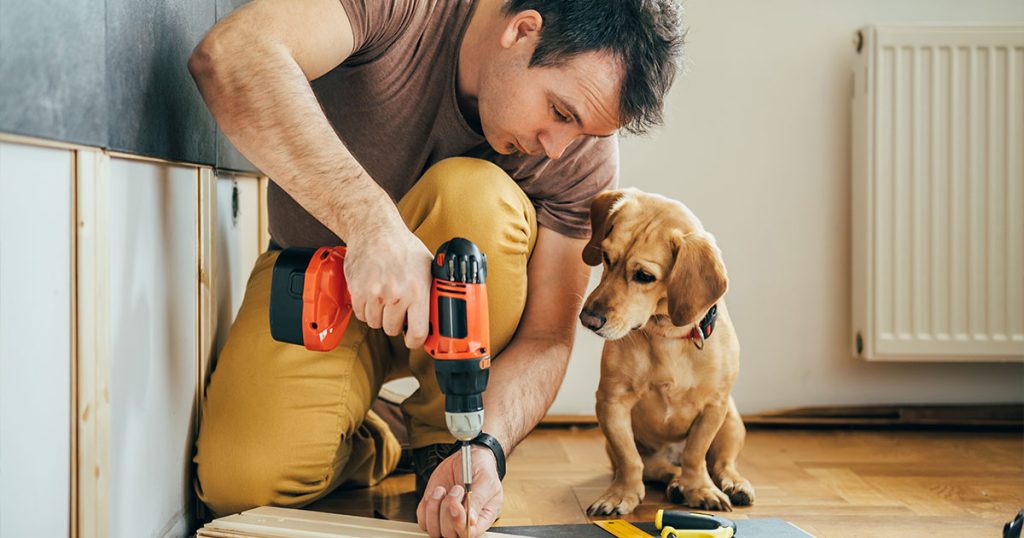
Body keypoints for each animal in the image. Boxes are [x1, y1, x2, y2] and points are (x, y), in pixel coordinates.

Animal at [581, 188, 757, 516]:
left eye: (644, 276)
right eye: (606, 257)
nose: (588, 319)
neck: (667, 337)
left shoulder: (713, 407)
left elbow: (696, 455)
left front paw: (700, 489)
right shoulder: (612, 402)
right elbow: (629, 460)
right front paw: (621, 494)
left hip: (731, 421)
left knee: (721, 462)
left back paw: (733, 483)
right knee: (659, 468)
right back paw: (676, 483)